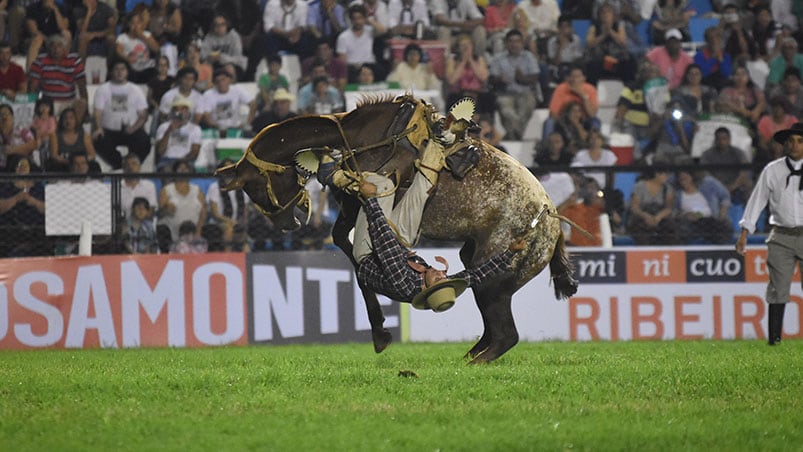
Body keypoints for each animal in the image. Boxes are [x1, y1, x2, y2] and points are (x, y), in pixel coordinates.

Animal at [217, 95, 576, 364]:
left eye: (254, 188)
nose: (285, 223)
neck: (361, 138)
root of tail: (552, 220)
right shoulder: (352, 206)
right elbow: (343, 242)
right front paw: (379, 327)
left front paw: (380, 329)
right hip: (479, 266)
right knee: (494, 331)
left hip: (493, 281)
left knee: (504, 334)